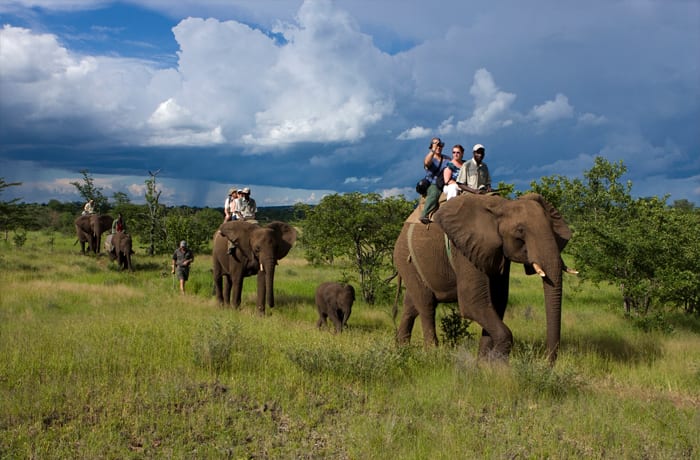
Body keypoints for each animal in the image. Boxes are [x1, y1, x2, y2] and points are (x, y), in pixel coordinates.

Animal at [393, 193, 572, 363]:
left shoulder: (497, 252)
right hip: (405, 258)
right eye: (520, 231)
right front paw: (498, 365)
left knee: (411, 305)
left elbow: (497, 301)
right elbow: (473, 303)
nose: (547, 364)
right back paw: (432, 354)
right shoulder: (464, 248)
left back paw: (402, 349)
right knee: (426, 306)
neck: (503, 205)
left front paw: (484, 363)